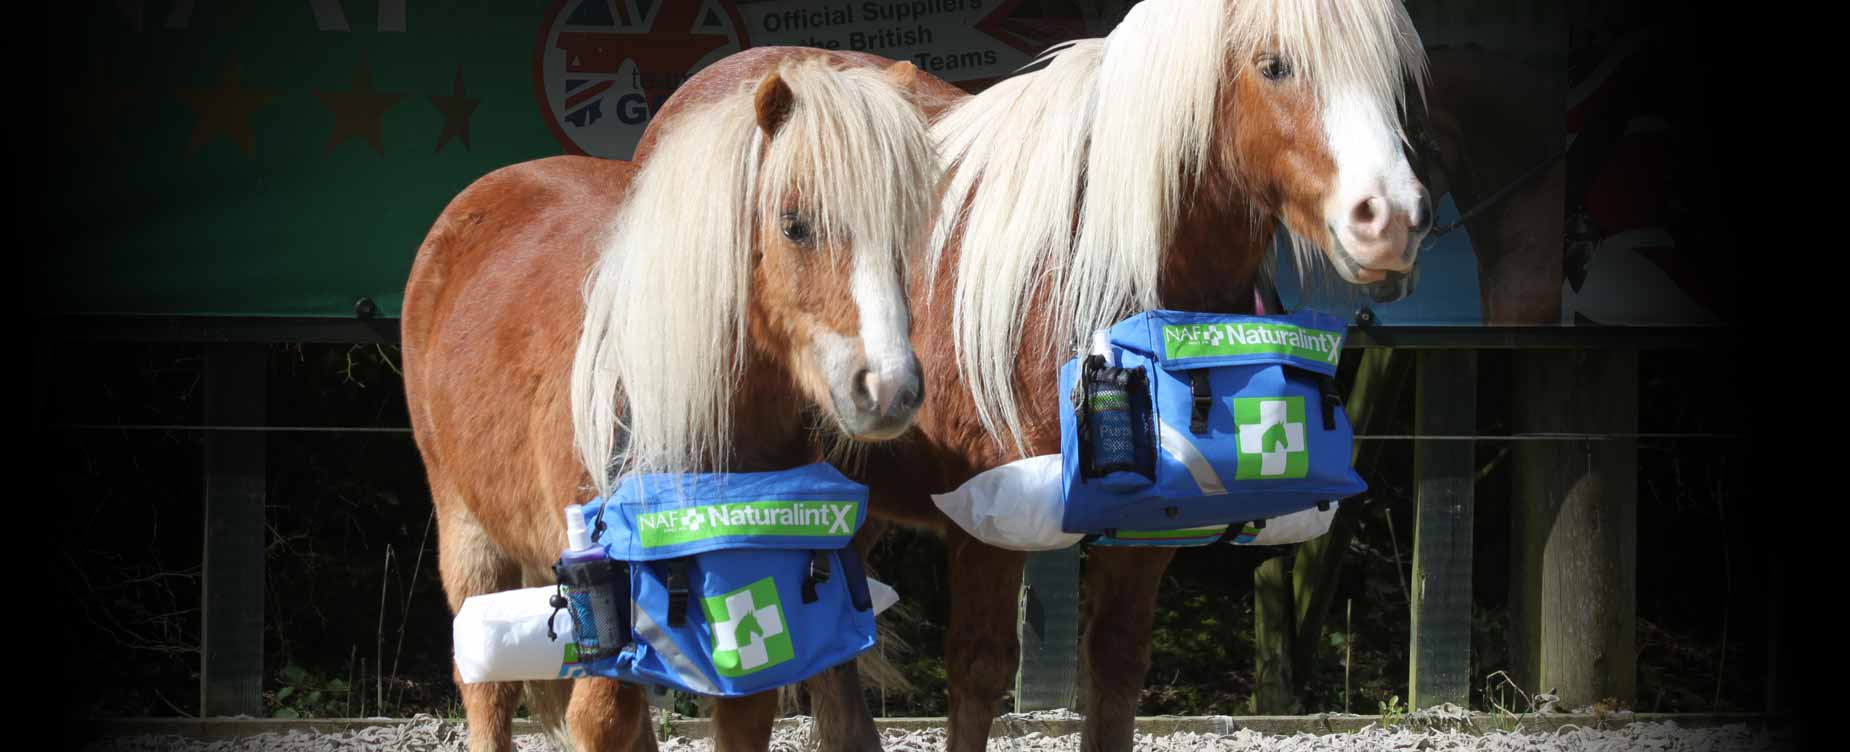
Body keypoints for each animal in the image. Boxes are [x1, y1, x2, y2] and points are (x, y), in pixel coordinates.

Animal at [395, 58, 932, 752]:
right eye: (794, 223)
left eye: (906, 234)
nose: (890, 388)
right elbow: (598, 719)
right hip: (469, 537)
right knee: (487, 692)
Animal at [636, 2, 1428, 748]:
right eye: (1274, 65)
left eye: (1391, 75)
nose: (1391, 219)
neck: (1089, 270)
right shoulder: (986, 525)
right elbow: (978, 674)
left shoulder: (1145, 533)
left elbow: (1114, 673)